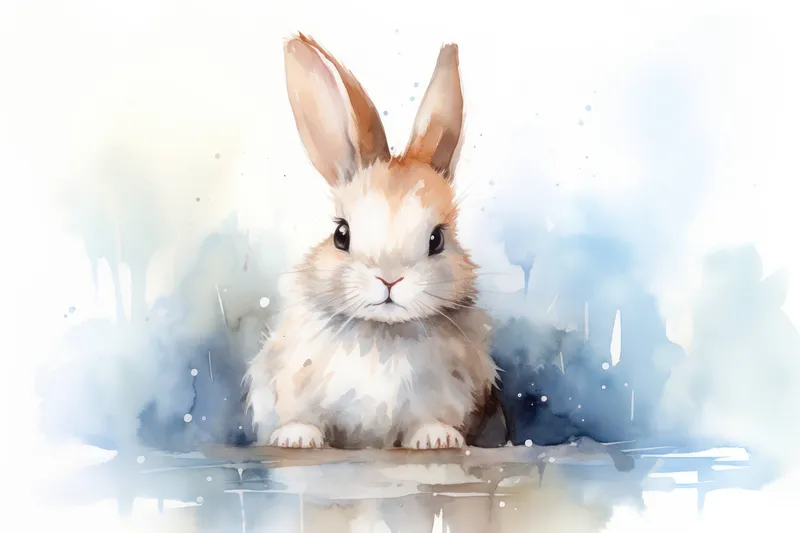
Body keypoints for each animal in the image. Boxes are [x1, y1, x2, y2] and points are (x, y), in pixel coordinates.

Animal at [245, 33, 501, 449]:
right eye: (341, 234)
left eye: (437, 239)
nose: (389, 279)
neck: (384, 330)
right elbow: (301, 417)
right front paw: (297, 438)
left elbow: (428, 421)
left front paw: (436, 439)